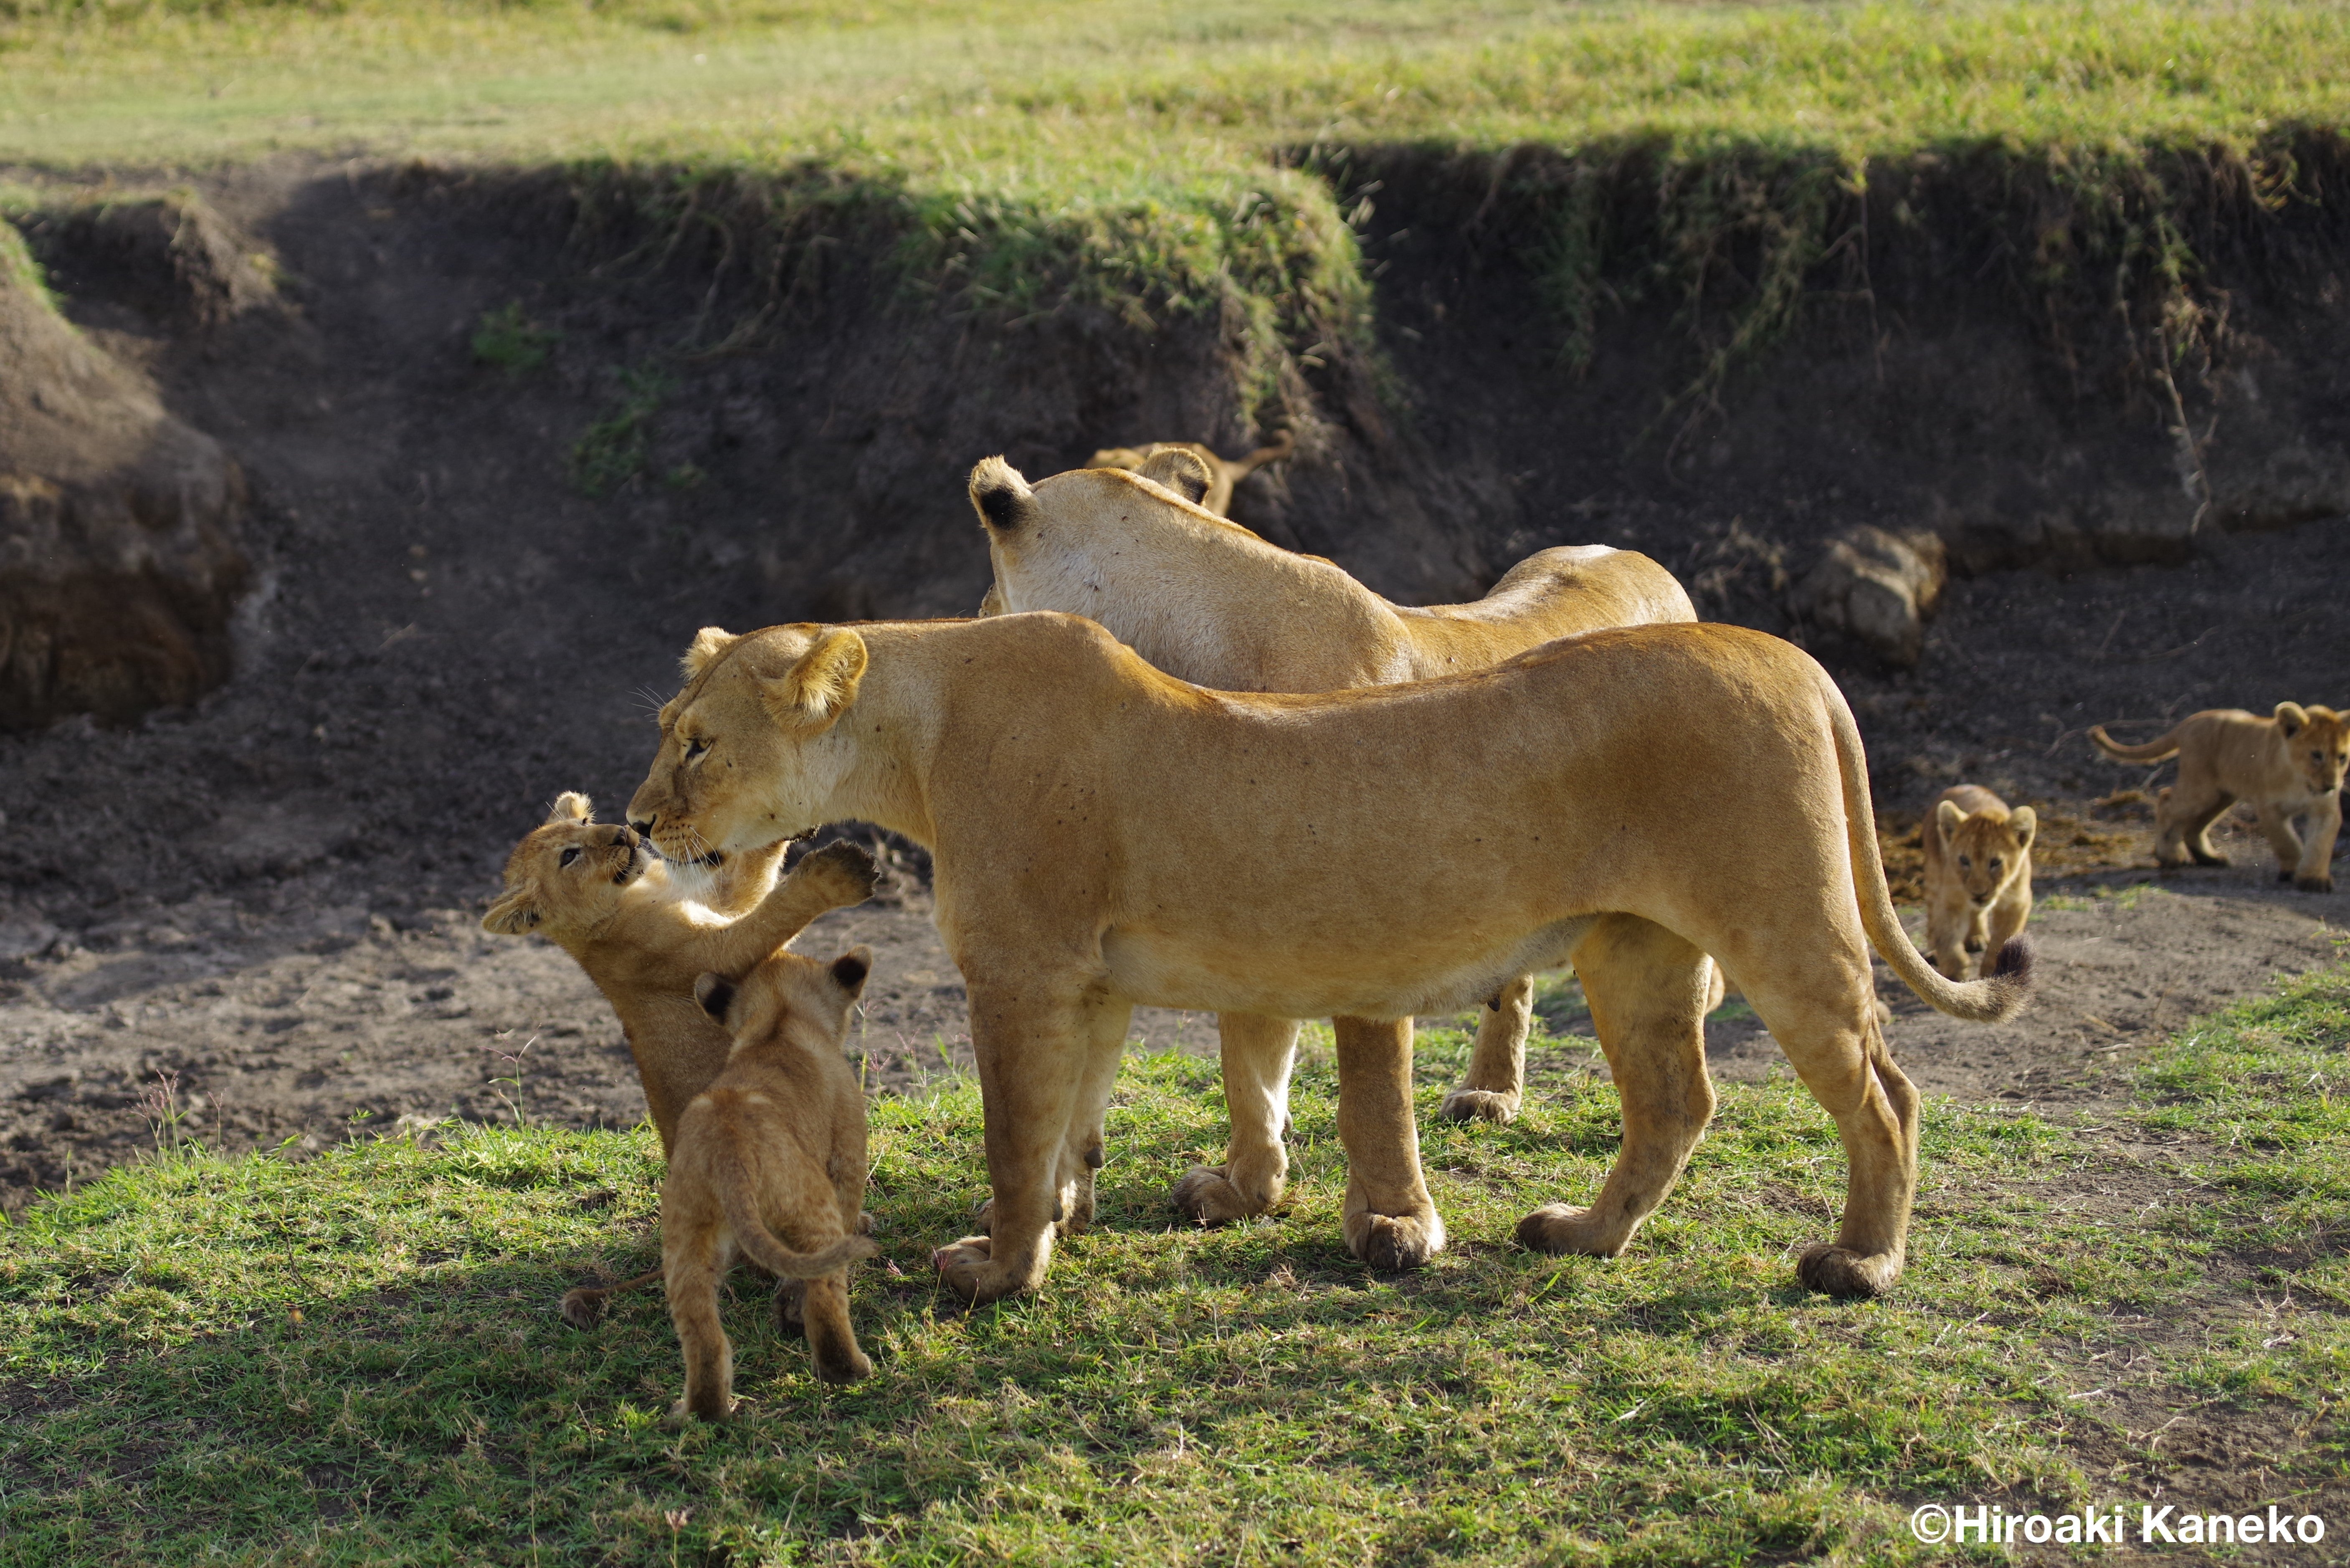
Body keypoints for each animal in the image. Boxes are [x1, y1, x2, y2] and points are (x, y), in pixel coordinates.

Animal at [481, 793, 877, 1325]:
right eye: (569, 857)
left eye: (583, 823)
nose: (622, 833)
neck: (635, 894)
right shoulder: (710, 954)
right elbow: (773, 915)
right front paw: (840, 872)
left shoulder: (719, 905)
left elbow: (751, 879)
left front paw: (779, 828)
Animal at [661, 949, 882, 1421]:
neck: (780, 1021)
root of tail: (729, 1156)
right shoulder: (848, 1152)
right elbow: (850, 1208)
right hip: (810, 1203)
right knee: (824, 1292)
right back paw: (849, 1370)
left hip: (686, 1235)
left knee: (702, 1333)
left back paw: (704, 1412)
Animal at [974, 448, 1703, 1227]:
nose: (978, 617)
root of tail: (1634, 555)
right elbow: (1247, 1057)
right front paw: (1246, 1186)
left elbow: (1371, 1081)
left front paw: (1393, 1222)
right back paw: (1487, 1094)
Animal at [1921, 785, 2035, 981]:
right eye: (1964, 860)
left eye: (1996, 862)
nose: (1979, 894)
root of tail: (1958, 787)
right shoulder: (1950, 898)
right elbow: (1947, 934)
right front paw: (1955, 970)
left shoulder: (2017, 902)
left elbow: (2003, 937)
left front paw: (1996, 971)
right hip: (1934, 874)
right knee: (1933, 915)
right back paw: (1934, 952)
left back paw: (1977, 938)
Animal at [2091, 703, 2348, 891]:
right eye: (2317, 755)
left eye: (2343, 757)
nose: (2332, 785)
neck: (2301, 781)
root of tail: (2190, 722)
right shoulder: (2269, 808)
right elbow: (2287, 843)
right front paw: (2292, 870)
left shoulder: (2326, 810)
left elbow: (2320, 844)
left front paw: (2314, 879)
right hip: (2201, 789)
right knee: (2166, 801)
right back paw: (2171, 856)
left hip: (2222, 796)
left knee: (2193, 825)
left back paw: (2208, 858)